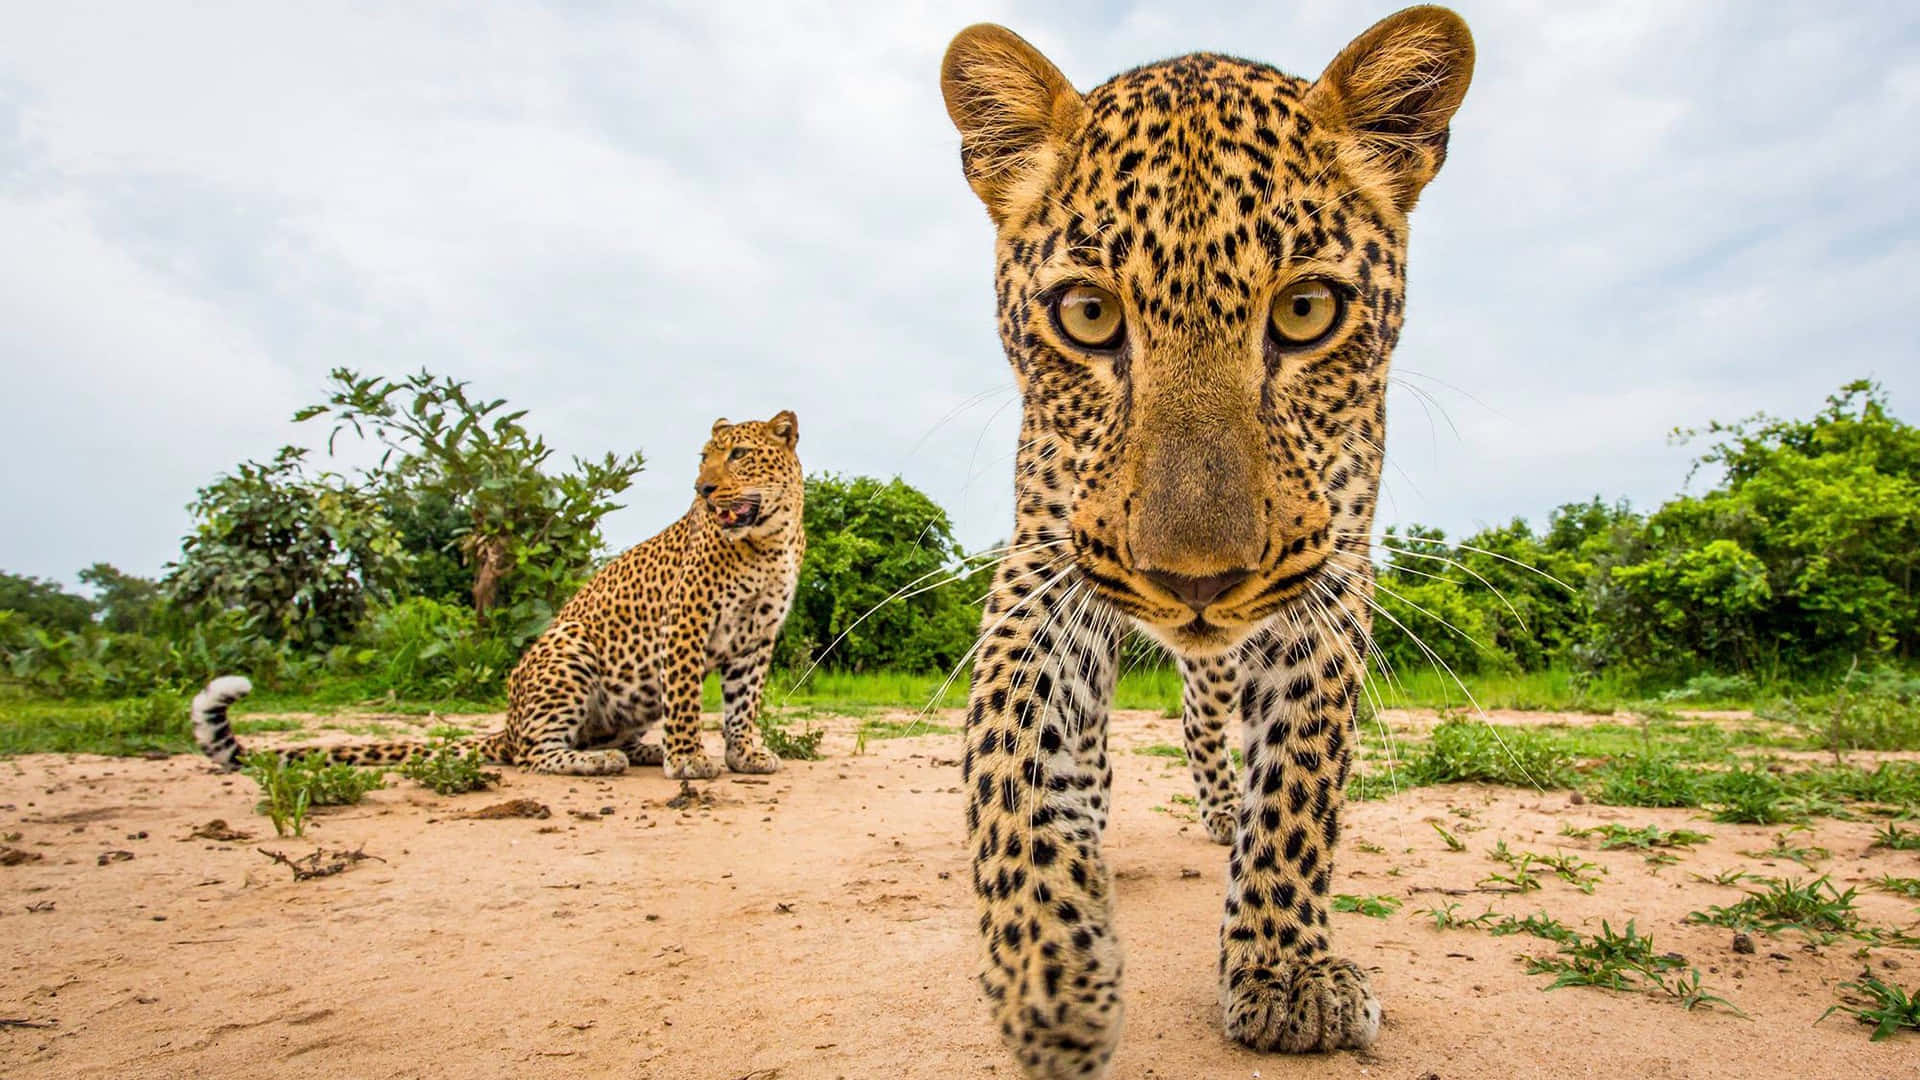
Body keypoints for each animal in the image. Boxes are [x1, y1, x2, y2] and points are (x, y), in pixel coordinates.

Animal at [192, 410, 806, 781]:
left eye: (739, 454)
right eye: (704, 458)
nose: (702, 489)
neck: (767, 540)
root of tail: (506, 724)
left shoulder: (756, 637)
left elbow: (743, 703)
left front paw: (745, 754)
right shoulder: (686, 623)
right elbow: (685, 699)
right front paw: (688, 760)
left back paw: (635, 751)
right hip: (569, 647)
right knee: (532, 753)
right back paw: (597, 761)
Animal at [939, 7, 1474, 1076]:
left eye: (1306, 310)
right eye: (1088, 314)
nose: (1196, 582)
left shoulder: (1332, 574)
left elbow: (1301, 777)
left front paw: (1283, 968)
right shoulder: (1044, 560)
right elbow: (1010, 749)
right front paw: (1052, 974)